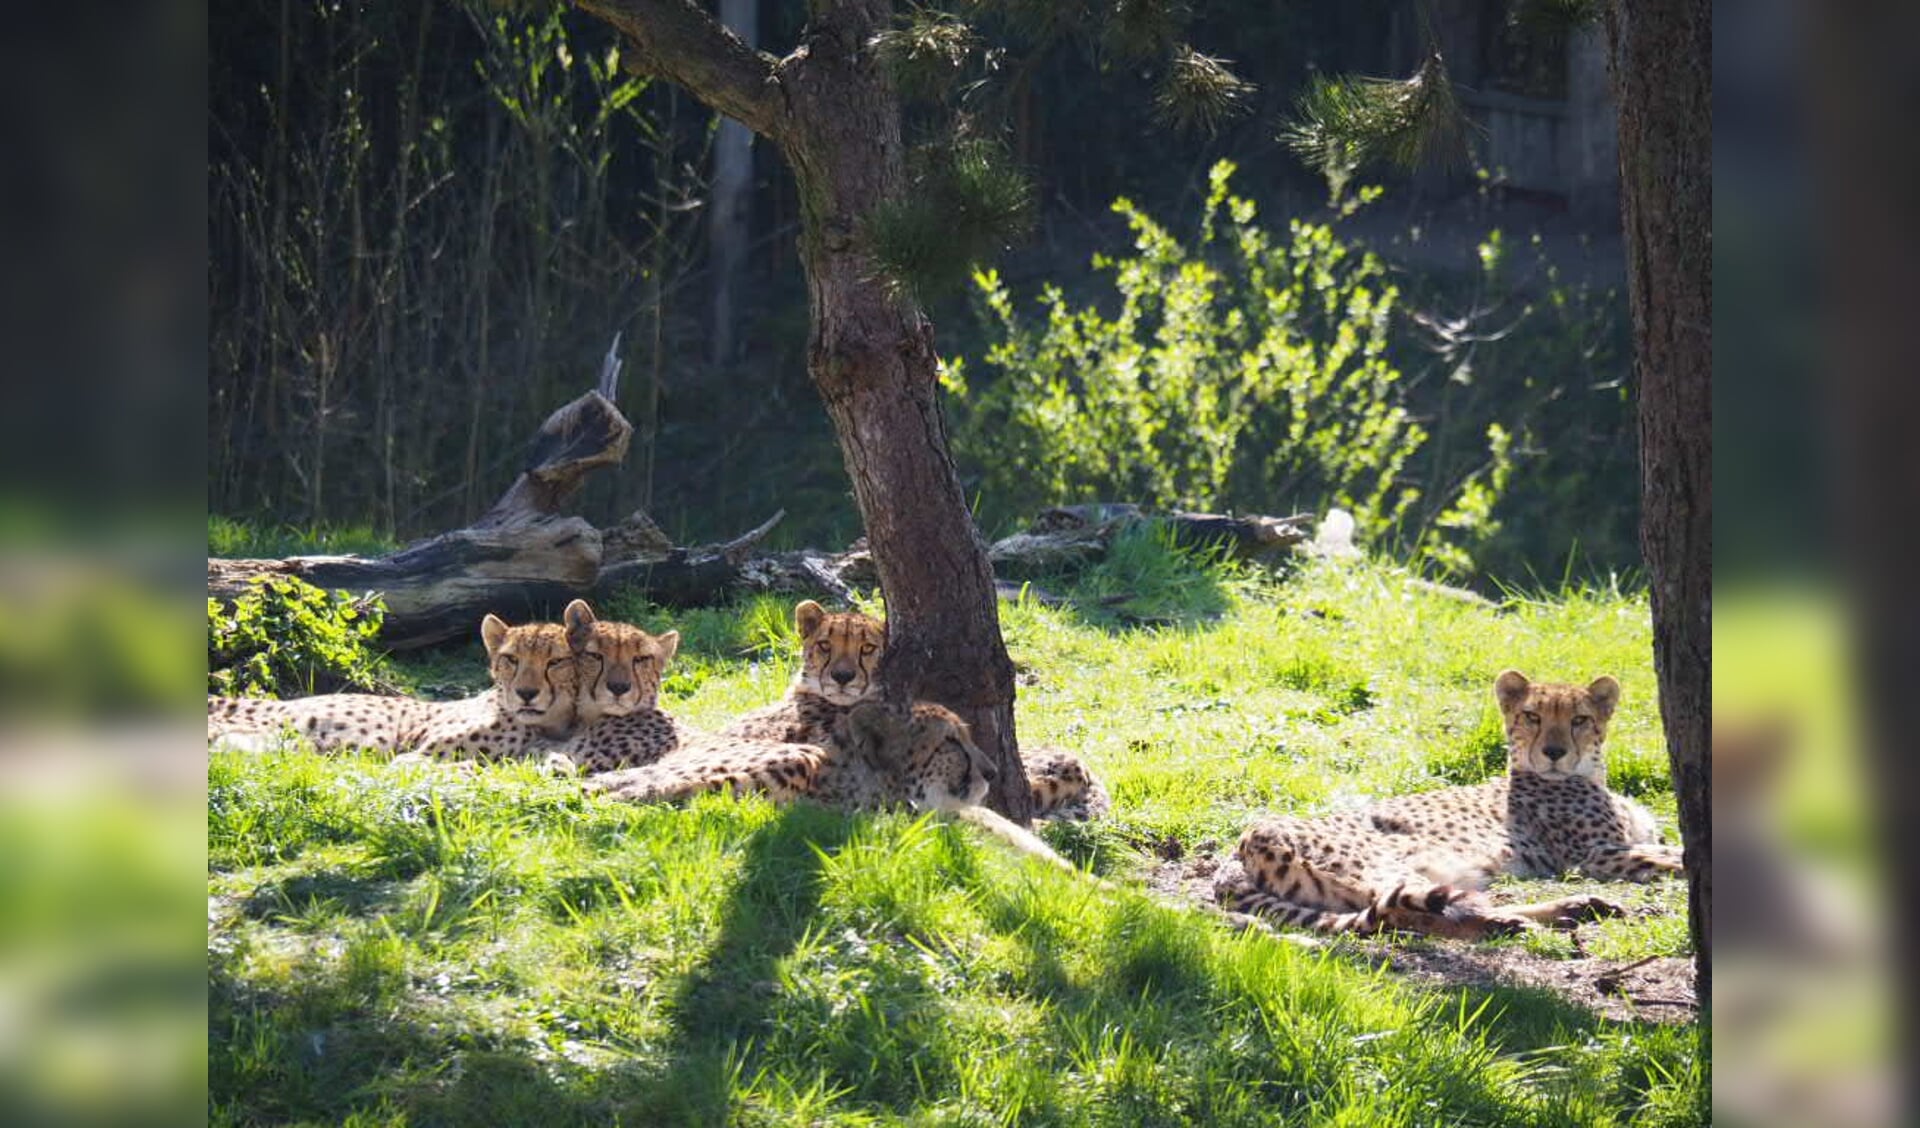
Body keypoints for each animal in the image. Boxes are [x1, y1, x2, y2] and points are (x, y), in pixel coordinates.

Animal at [1213, 671, 1681, 943]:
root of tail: (1244, 840)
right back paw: (1516, 922)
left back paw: (1569, 910)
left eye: (1579, 719)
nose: (1553, 752)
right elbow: (1678, 857)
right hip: (1384, 866)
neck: (1589, 773)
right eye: (1532, 715)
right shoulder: (1598, 854)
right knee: (1403, 911)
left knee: (1402, 914)